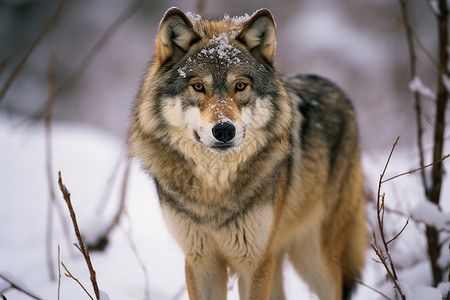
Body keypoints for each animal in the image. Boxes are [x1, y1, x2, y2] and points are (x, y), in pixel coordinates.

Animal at [128, 7, 368, 300]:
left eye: (240, 86)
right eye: (198, 86)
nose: (224, 130)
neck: (215, 187)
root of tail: (337, 90)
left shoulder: (255, 263)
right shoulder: (200, 262)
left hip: (315, 260)